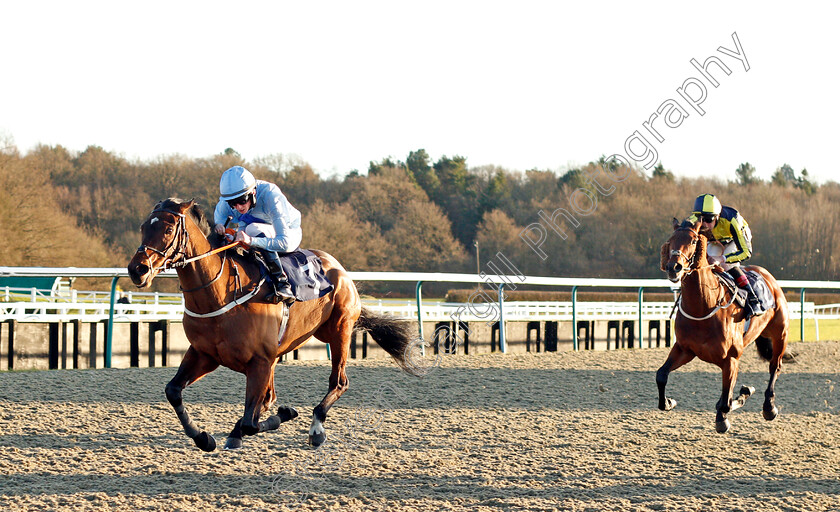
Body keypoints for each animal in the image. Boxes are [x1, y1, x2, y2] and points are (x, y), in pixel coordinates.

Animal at [125, 198, 424, 450]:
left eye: (168, 228)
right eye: (143, 227)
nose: (137, 270)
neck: (219, 295)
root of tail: (338, 267)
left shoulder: (259, 360)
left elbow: (251, 421)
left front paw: (281, 415)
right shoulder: (205, 354)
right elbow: (173, 391)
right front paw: (203, 438)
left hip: (339, 331)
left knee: (339, 382)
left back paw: (316, 428)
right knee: (270, 395)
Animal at [660, 218, 792, 434]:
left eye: (693, 240)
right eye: (670, 240)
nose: (674, 267)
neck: (703, 307)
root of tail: (767, 275)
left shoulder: (730, 358)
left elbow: (725, 404)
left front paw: (723, 419)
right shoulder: (684, 349)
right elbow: (661, 375)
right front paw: (668, 402)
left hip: (780, 334)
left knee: (775, 367)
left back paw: (769, 407)